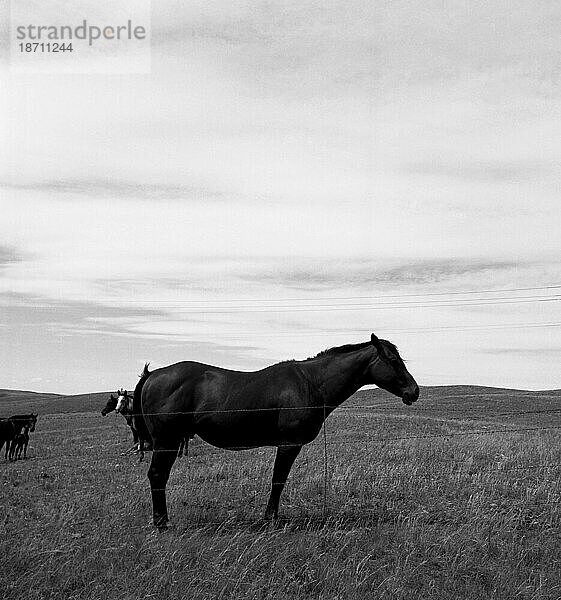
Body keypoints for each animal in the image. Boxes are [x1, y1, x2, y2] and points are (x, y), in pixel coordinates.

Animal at [133, 332, 418, 528]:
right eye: (393, 360)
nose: (414, 391)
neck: (311, 383)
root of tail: (153, 375)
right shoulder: (289, 444)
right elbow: (278, 480)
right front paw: (271, 517)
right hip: (166, 441)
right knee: (157, 475)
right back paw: (161, 522)